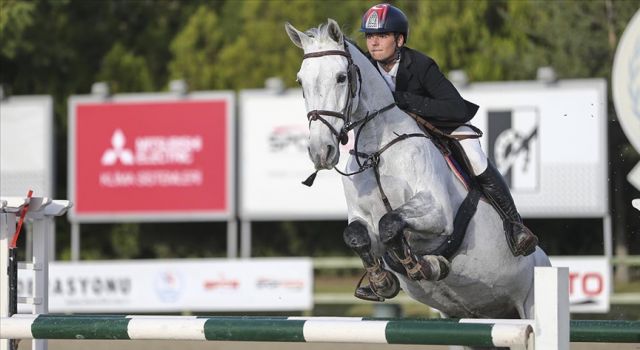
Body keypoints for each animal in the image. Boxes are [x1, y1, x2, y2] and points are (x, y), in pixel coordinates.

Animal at [284, 17, 552, 342]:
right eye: (301, 81)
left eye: (340, 77)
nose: (321, 151)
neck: (377, 150)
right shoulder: (361, 218)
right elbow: (358, 235)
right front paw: (382, 280)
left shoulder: (438, 213)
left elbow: (391, 224)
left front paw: (426, 265)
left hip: (530, 301)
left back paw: (521, 237)